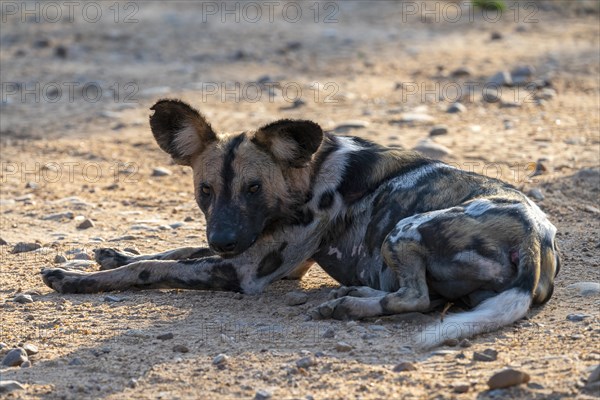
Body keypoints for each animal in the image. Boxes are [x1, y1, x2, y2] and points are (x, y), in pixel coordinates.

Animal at [39, 97, 560, 346]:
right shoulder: (247, 251)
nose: (224, 238)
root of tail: (536, 239)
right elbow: (174, 249)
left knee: (415, 298)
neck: (307, 174)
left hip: (404, 229)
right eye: (206, 191)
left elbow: (151, 269)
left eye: (253, 188)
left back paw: (348, 307)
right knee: (426, 299)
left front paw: (76, 279)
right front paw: (112, 253)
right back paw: (354, 293)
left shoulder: (244, 269)